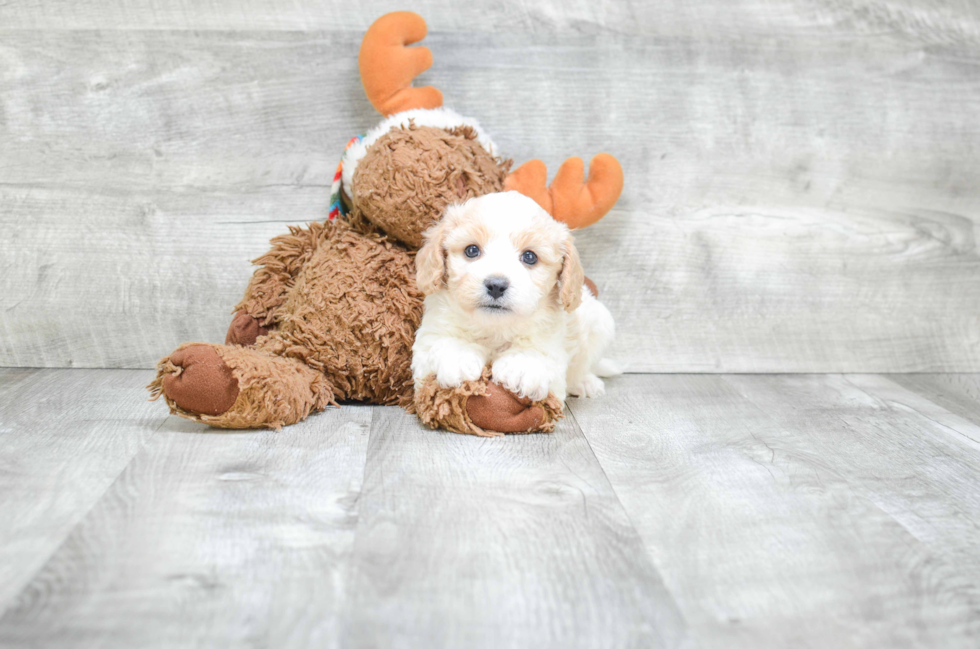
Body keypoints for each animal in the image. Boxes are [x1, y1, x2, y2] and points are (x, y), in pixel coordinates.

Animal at [410, 189, 616, 400]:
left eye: (530, 257)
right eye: (472, 250)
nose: (496, 285)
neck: (494, 328)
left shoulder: (553, 349)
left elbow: (537, 353)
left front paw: (521, 367)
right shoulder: (430, 336)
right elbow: (441, 342)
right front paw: (458, 357)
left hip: (601, 323)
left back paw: (586, 383)